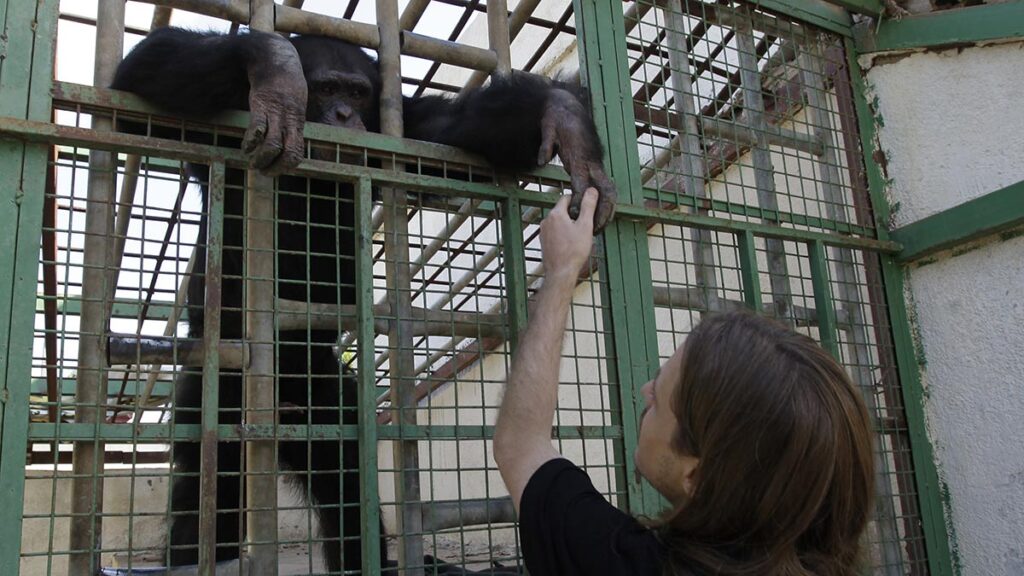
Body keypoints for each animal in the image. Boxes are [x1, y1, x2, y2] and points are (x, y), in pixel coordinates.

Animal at [114, 25, 614, 569]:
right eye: (325, 88)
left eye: (356, 93)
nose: (341, 115)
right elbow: (140, 77)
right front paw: (276, 69)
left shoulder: (408, 126)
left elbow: (463, 133)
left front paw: (566, 120)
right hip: (217, 389)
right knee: (209, 493)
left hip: (321, 404)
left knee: (346, 477)